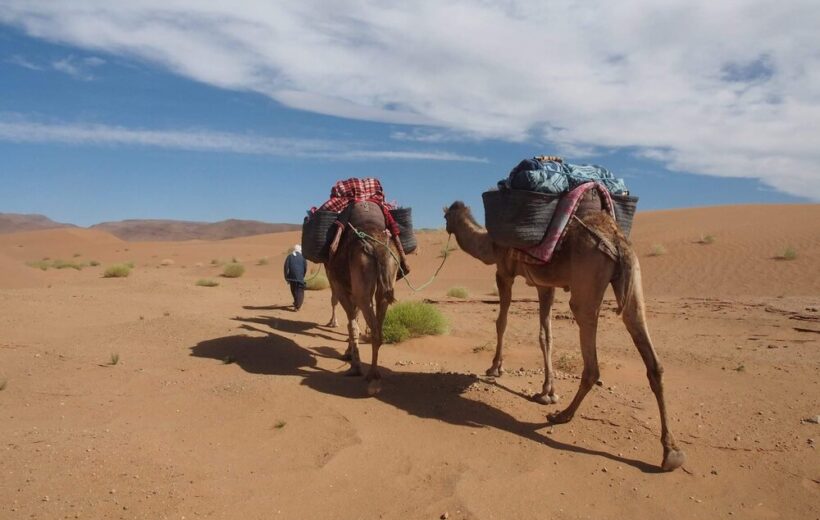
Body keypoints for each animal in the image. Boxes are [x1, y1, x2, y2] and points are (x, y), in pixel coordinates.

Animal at [326, 201, 399, 395]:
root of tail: (377, 246)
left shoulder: (339, 286)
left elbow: (352, 323)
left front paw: (354, 364)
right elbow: (355, 320)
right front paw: (349, 353)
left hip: (360, 283)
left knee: (371, 325)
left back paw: (370, 375)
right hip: (387, 276)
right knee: (379, 325)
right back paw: (375, 373)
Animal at [443, 200, 685, 471]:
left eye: (446, 217)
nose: (446, 228)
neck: (490, 245)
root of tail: (616, 238)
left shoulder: (504, 271)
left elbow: (502, 322)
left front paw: (496, 367)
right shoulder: (544, 284)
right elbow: (546, 335)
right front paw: (547, 391)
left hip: (585, 283)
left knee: (591, 362)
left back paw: (563, 415)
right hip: (633, 277)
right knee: (648, 350)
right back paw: (671, 452)